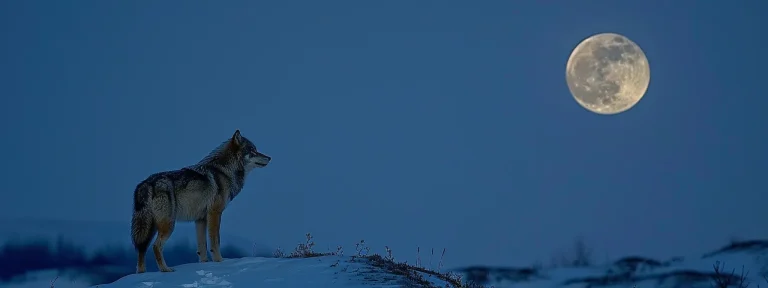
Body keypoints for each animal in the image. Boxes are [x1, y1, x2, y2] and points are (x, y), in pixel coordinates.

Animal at [127, 129, 268, 274]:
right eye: (253, 150)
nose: (270, 158)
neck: (225, 171)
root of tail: (146, 184)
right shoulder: (215, 213)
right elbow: (215, 242)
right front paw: (220, 262)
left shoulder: (200, 219)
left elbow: (202, 247)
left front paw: (204, 265)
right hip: (167, 225)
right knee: (156, 246)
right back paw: (166, 270)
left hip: (149, 228)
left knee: (141, 249)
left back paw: (141, 274)